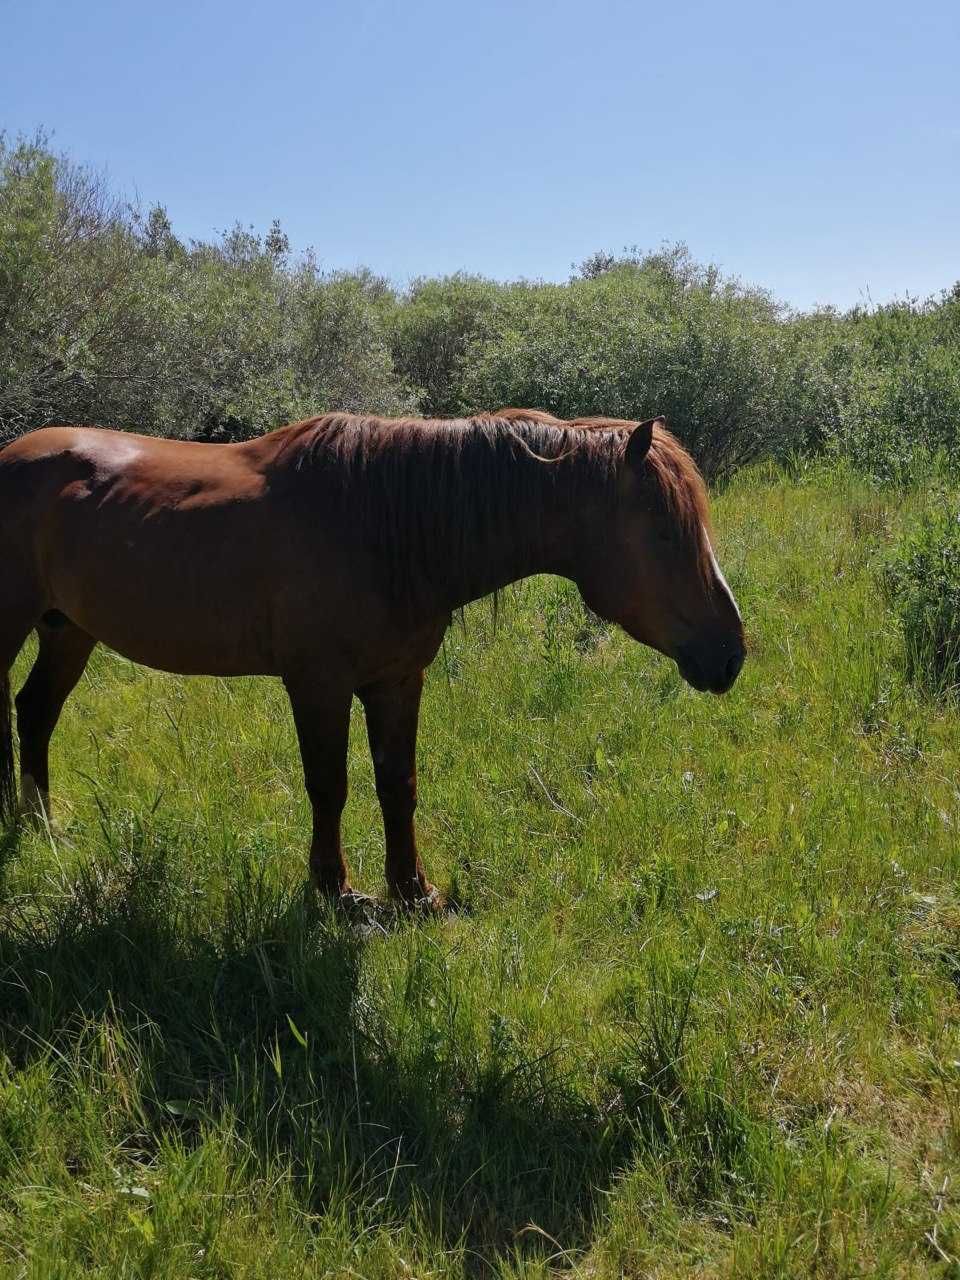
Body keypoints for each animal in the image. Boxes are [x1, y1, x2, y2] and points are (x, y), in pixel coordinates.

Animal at [0, 412, 742, 911]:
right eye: (665, 531)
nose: (731, 652)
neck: (381, 526)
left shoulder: (397, 681)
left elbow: (397, 784)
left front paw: (413, 891)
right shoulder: (317, 685)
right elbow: (330, 786)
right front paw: (334, 890)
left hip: (68, 629)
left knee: (34, 714)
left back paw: (40, 826)